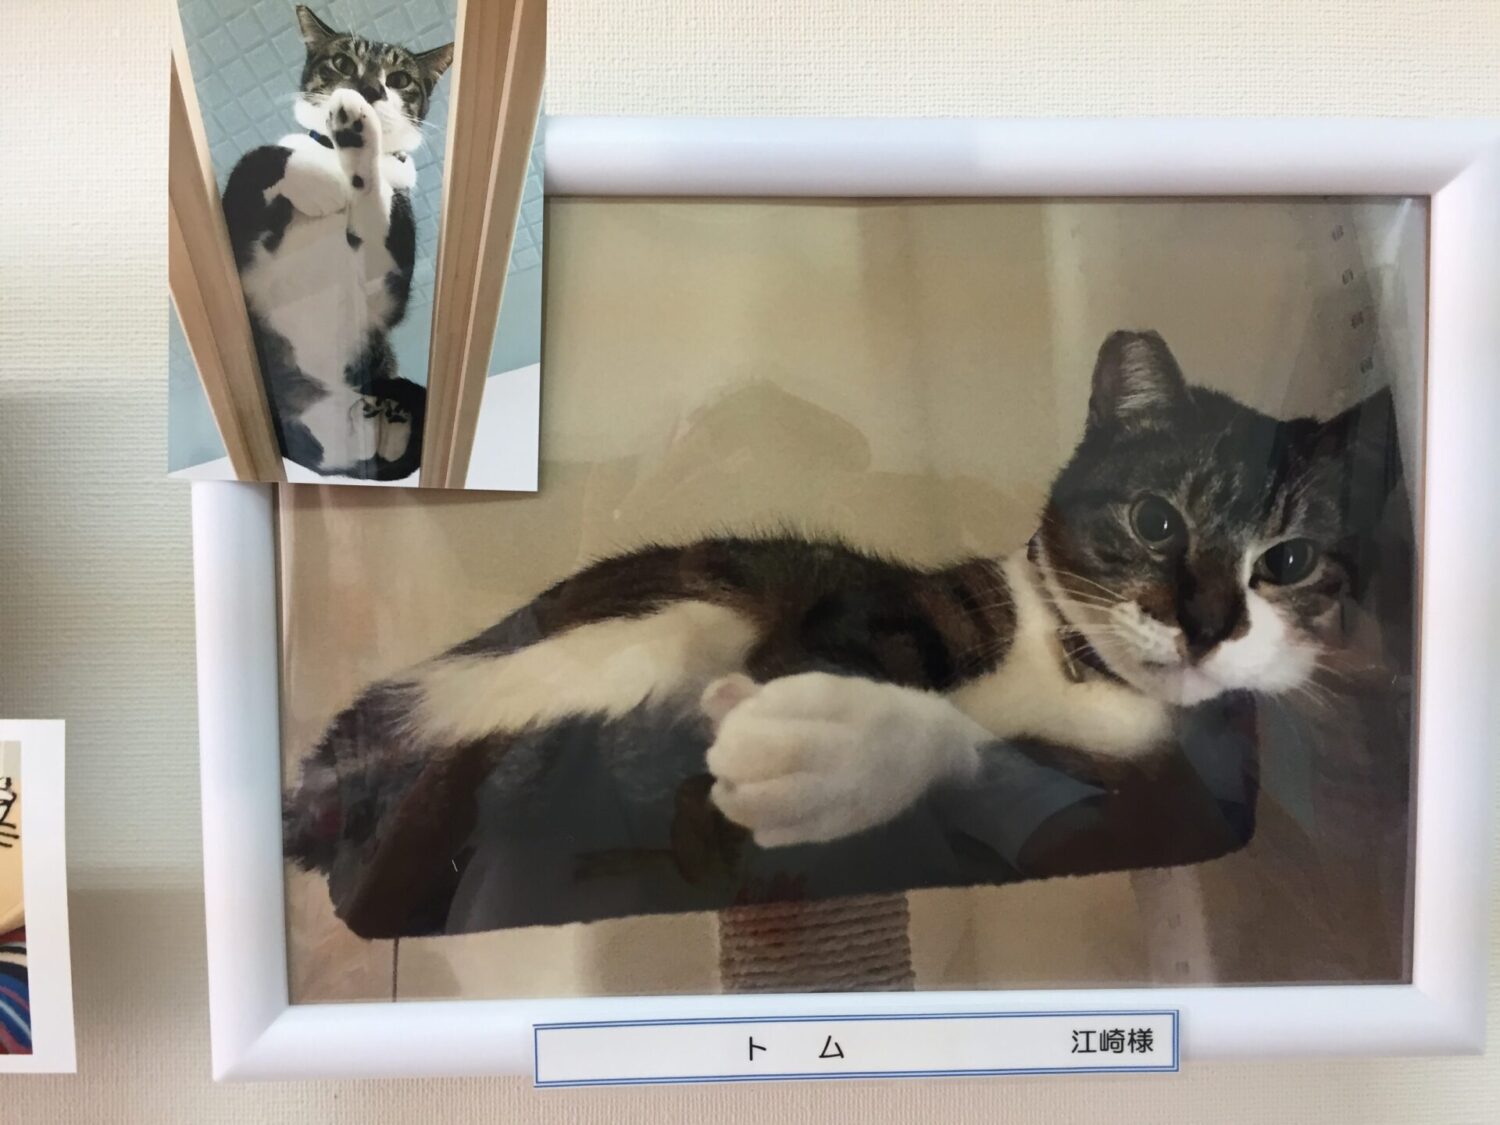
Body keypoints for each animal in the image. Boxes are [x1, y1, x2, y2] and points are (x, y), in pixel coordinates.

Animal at [221, 6, 453, 481]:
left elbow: (379, 194)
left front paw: (364, 152)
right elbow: (261, 157)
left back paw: (389, 422)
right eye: (343, 62)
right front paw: (317, 181)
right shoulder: (240, 229)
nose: (368, 90)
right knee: (332, 453)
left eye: (400, 78)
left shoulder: (385, 287)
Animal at [282, 329, 1401, 937]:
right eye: (1157, 522)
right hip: (678, 615)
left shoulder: (1143, 811)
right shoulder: (865, 617)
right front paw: (826, 751)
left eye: (1287, 562)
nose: (1208, 623)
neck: (1087, 687)